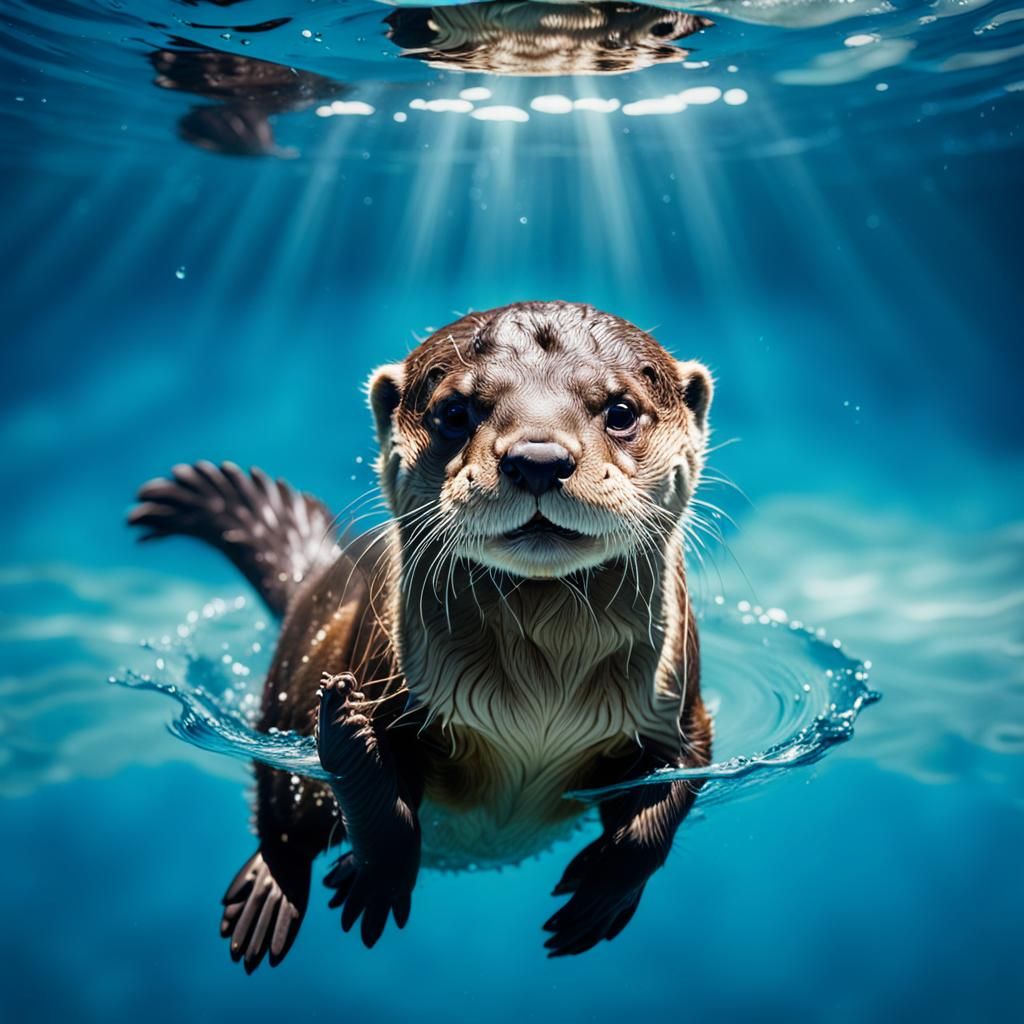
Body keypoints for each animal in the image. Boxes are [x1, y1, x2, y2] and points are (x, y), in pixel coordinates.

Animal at [128, 301, 713, 970]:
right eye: (456, 412)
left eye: (619, 410)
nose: (537, 459)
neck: (539, 705)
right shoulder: (384, 678)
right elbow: (381, 807)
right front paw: (371, 856)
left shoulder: (678, 708)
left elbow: (670, 795)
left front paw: (601, 894)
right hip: (287, 692)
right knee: (283, 809)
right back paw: (271, 889)